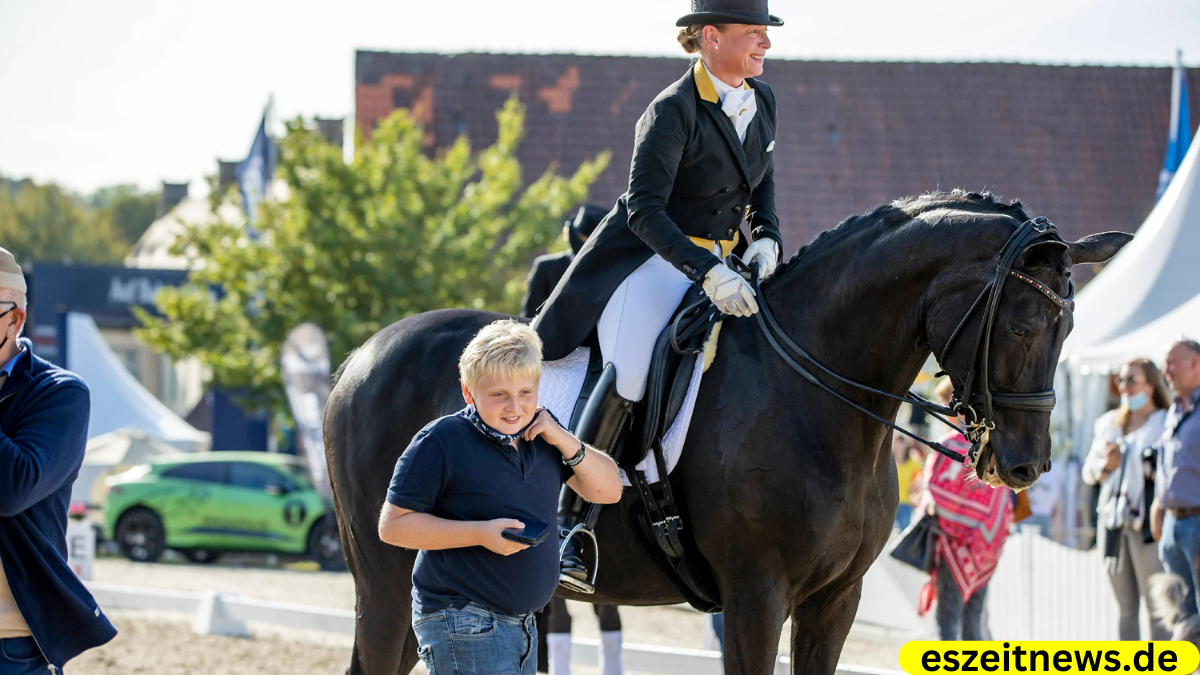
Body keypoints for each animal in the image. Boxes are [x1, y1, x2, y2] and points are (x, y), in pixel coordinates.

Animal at [324, 189, 1128, 672]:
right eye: (1020, 324)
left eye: (1069, 327)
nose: (1024, 467)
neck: (812, 393)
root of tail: (360, 357)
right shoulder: (755, 596)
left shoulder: (835, 600)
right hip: (393, 579)